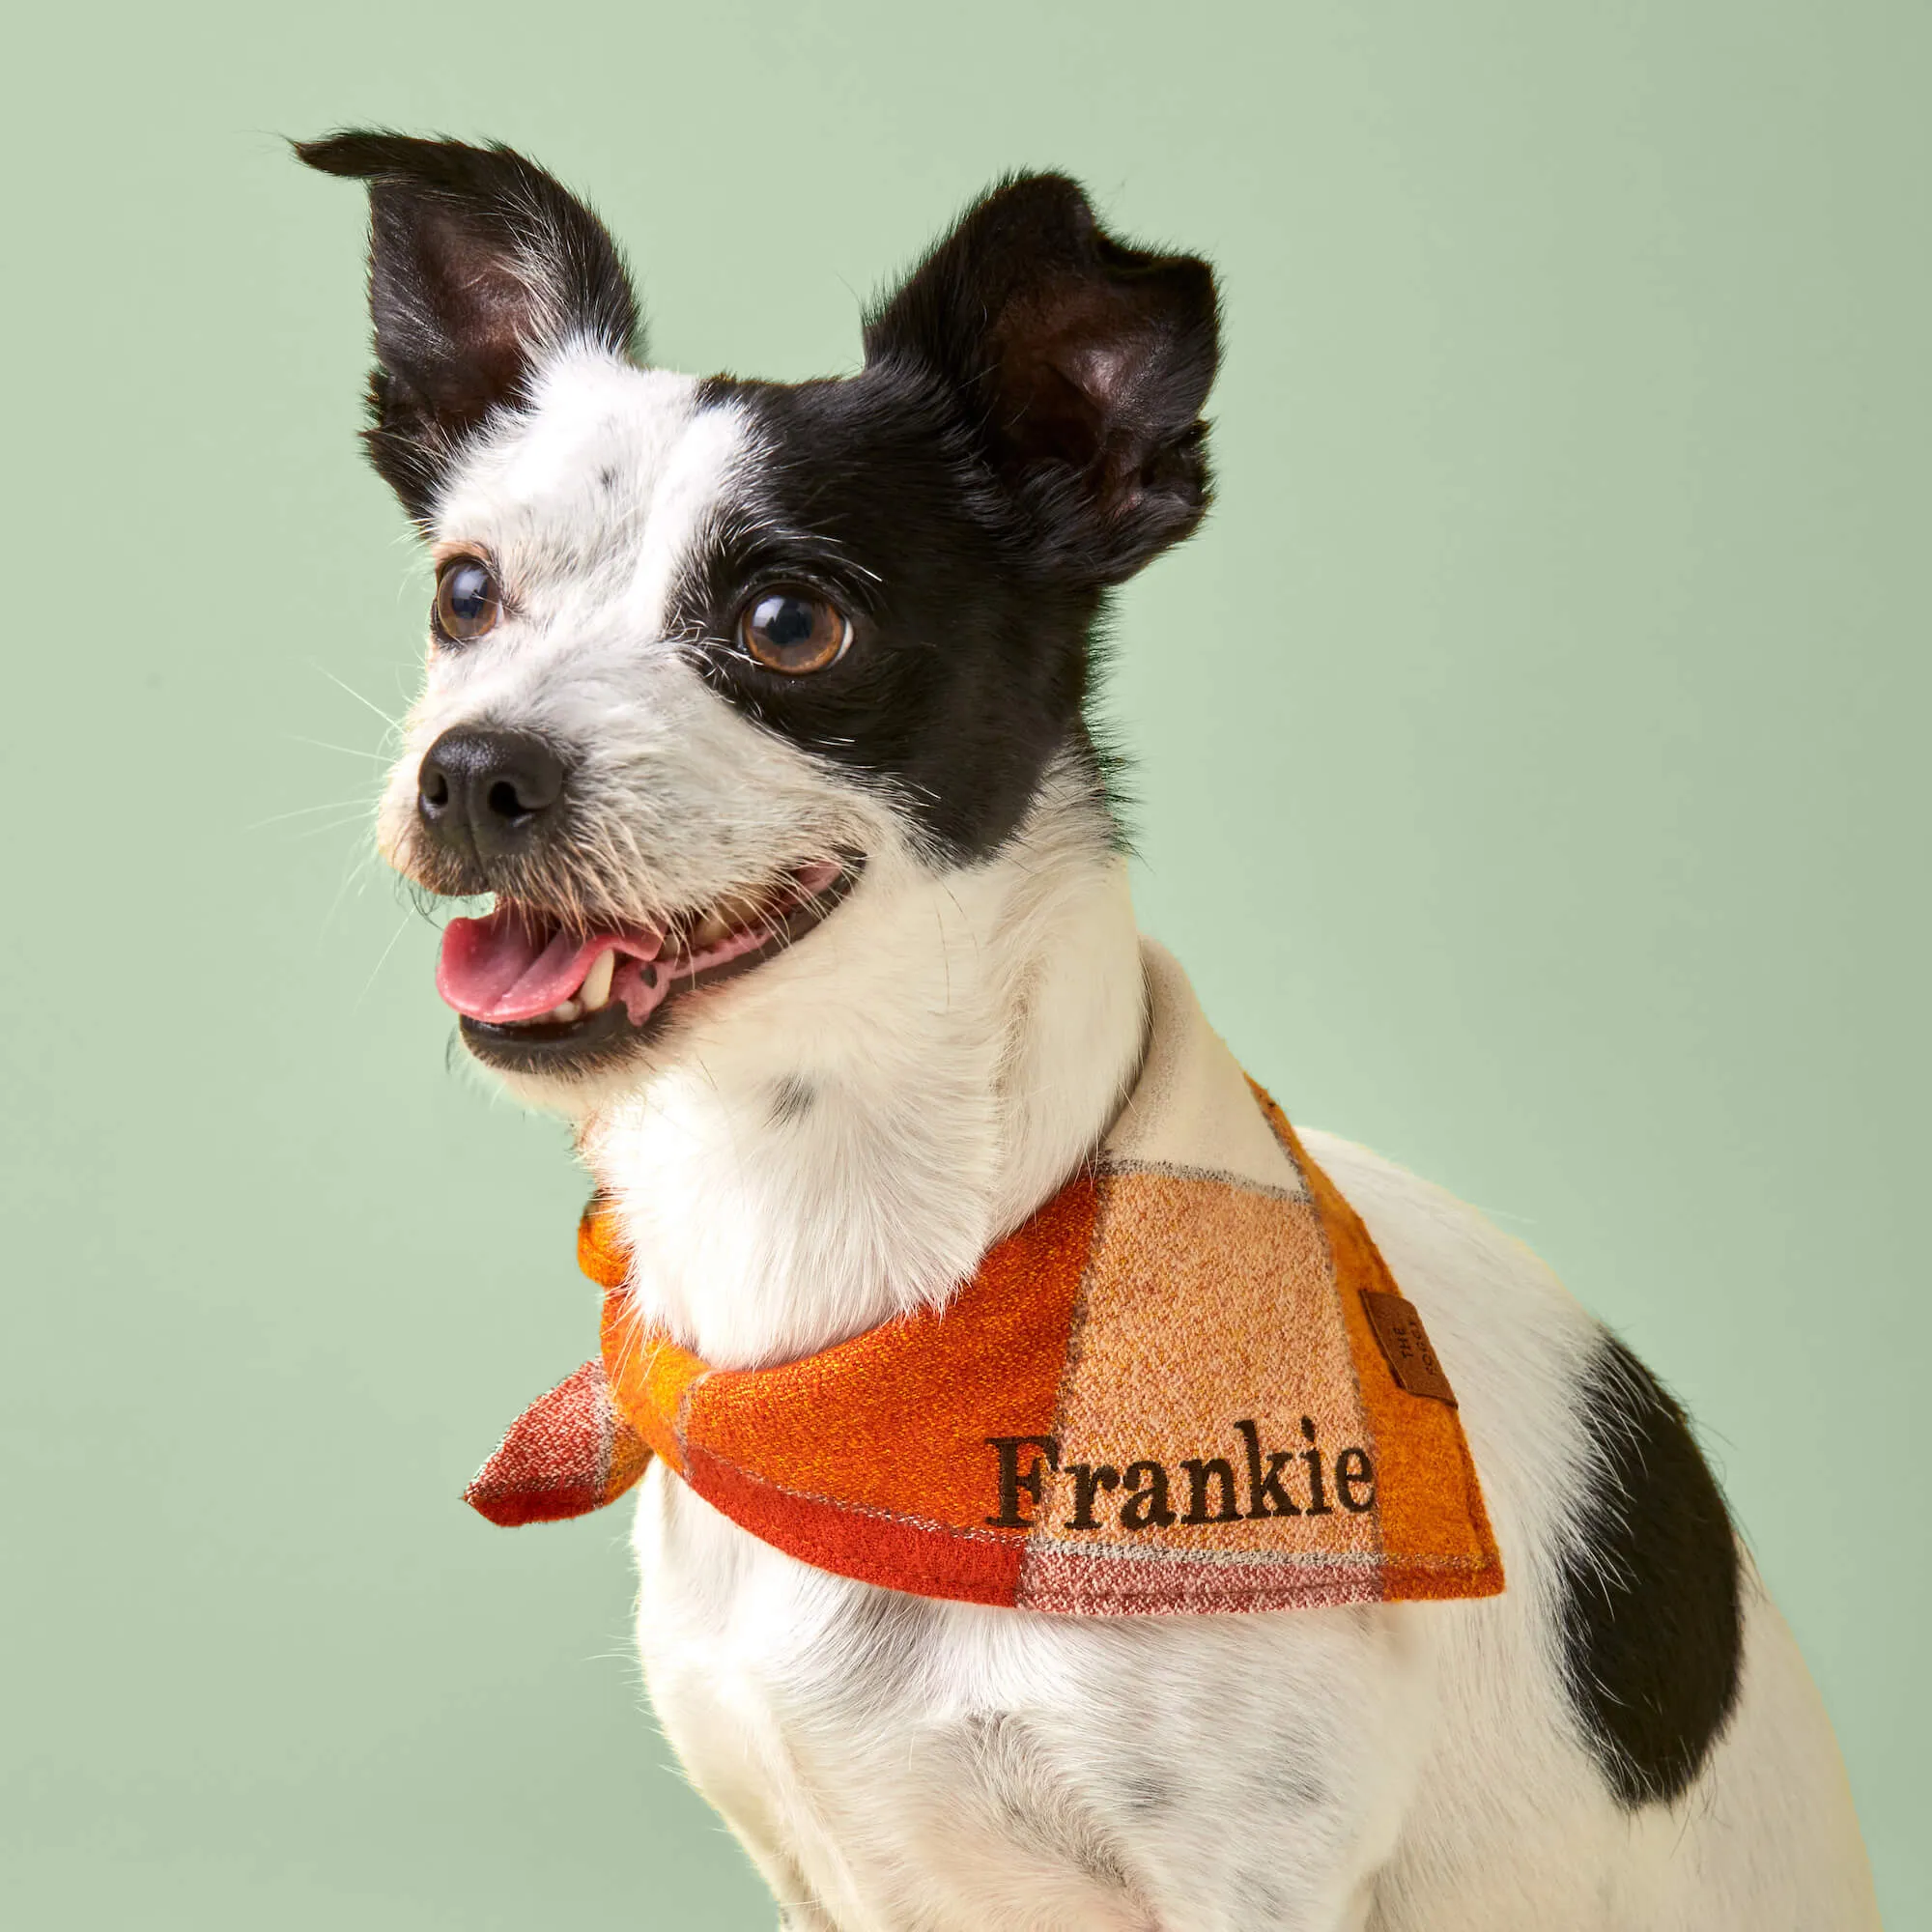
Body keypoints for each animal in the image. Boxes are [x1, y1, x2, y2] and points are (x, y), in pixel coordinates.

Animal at [301, 136, 1886, 1932]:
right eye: (464, 594)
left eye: (790, 622)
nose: (473, 768)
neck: (842, 1304)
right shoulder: (811, 1858)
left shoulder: (1252, 1879)